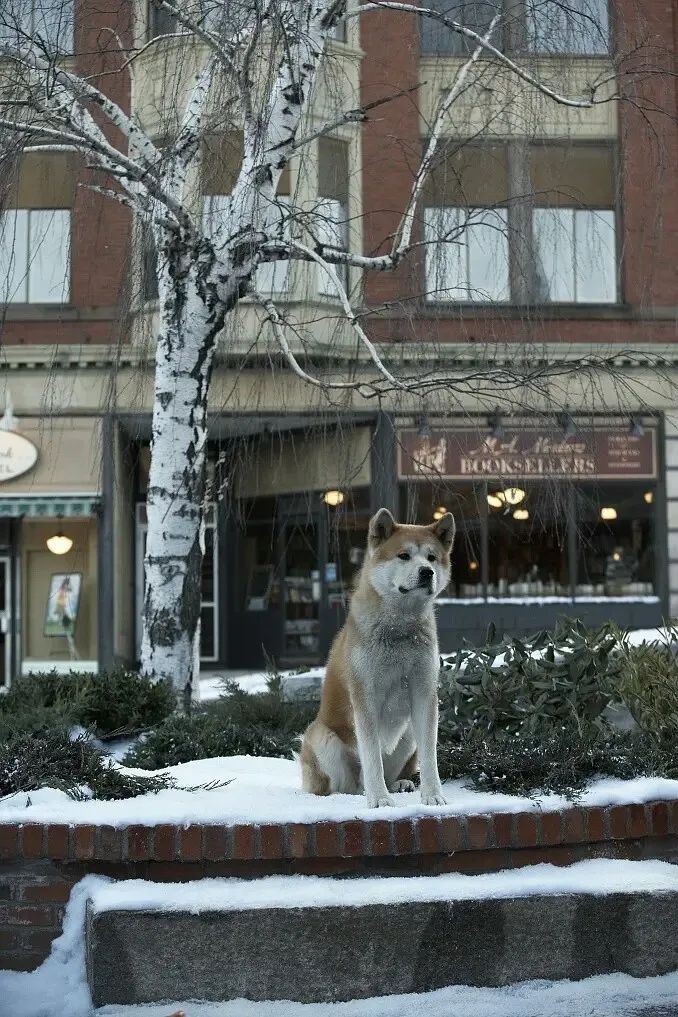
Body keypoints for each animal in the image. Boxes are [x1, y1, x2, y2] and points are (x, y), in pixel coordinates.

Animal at [298, 508, 453, 809]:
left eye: (431, 558)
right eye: (404, 555)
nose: (427, 572)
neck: (400, 631)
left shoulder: (424, 693)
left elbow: (429, 757)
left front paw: (432, 795)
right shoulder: (365, 697)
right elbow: (371, 758)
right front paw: (379, 800)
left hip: (407, 736)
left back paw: (399, 784)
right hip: (323, 738)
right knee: (349, 784)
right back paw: (356, 793)